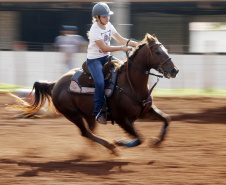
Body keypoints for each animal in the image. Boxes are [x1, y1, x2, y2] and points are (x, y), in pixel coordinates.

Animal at [13, 33, 178, 155]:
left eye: (166, 50)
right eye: (158, 52)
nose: (174, 70)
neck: (130, 85)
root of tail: (56, 84)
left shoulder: (145, 112)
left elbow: (166, 119)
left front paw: (156, 141)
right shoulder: (122, 120)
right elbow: (139, 138)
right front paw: (120, 141)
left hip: (89, 115)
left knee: (90, 133)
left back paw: (99, 150)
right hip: (73, 114)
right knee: (86, 133)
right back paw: (111, 147)